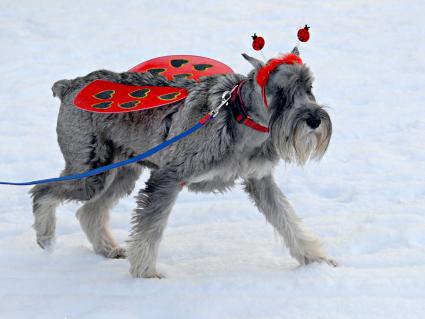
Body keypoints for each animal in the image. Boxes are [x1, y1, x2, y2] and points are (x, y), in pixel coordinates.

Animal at [29, 48, 334, 278]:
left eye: (309, 88)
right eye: (280, 93)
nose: (314, 120)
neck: (239, 118)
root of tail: (70, 85)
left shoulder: (260, 181)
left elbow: (287, 220)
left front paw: (316, 259)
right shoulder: (169, 178)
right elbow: (150, 229)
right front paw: (146, 273)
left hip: (124, 172)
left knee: (89, 212)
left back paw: (108, 249)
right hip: (91, 173)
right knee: (42, 191)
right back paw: (45, 238)